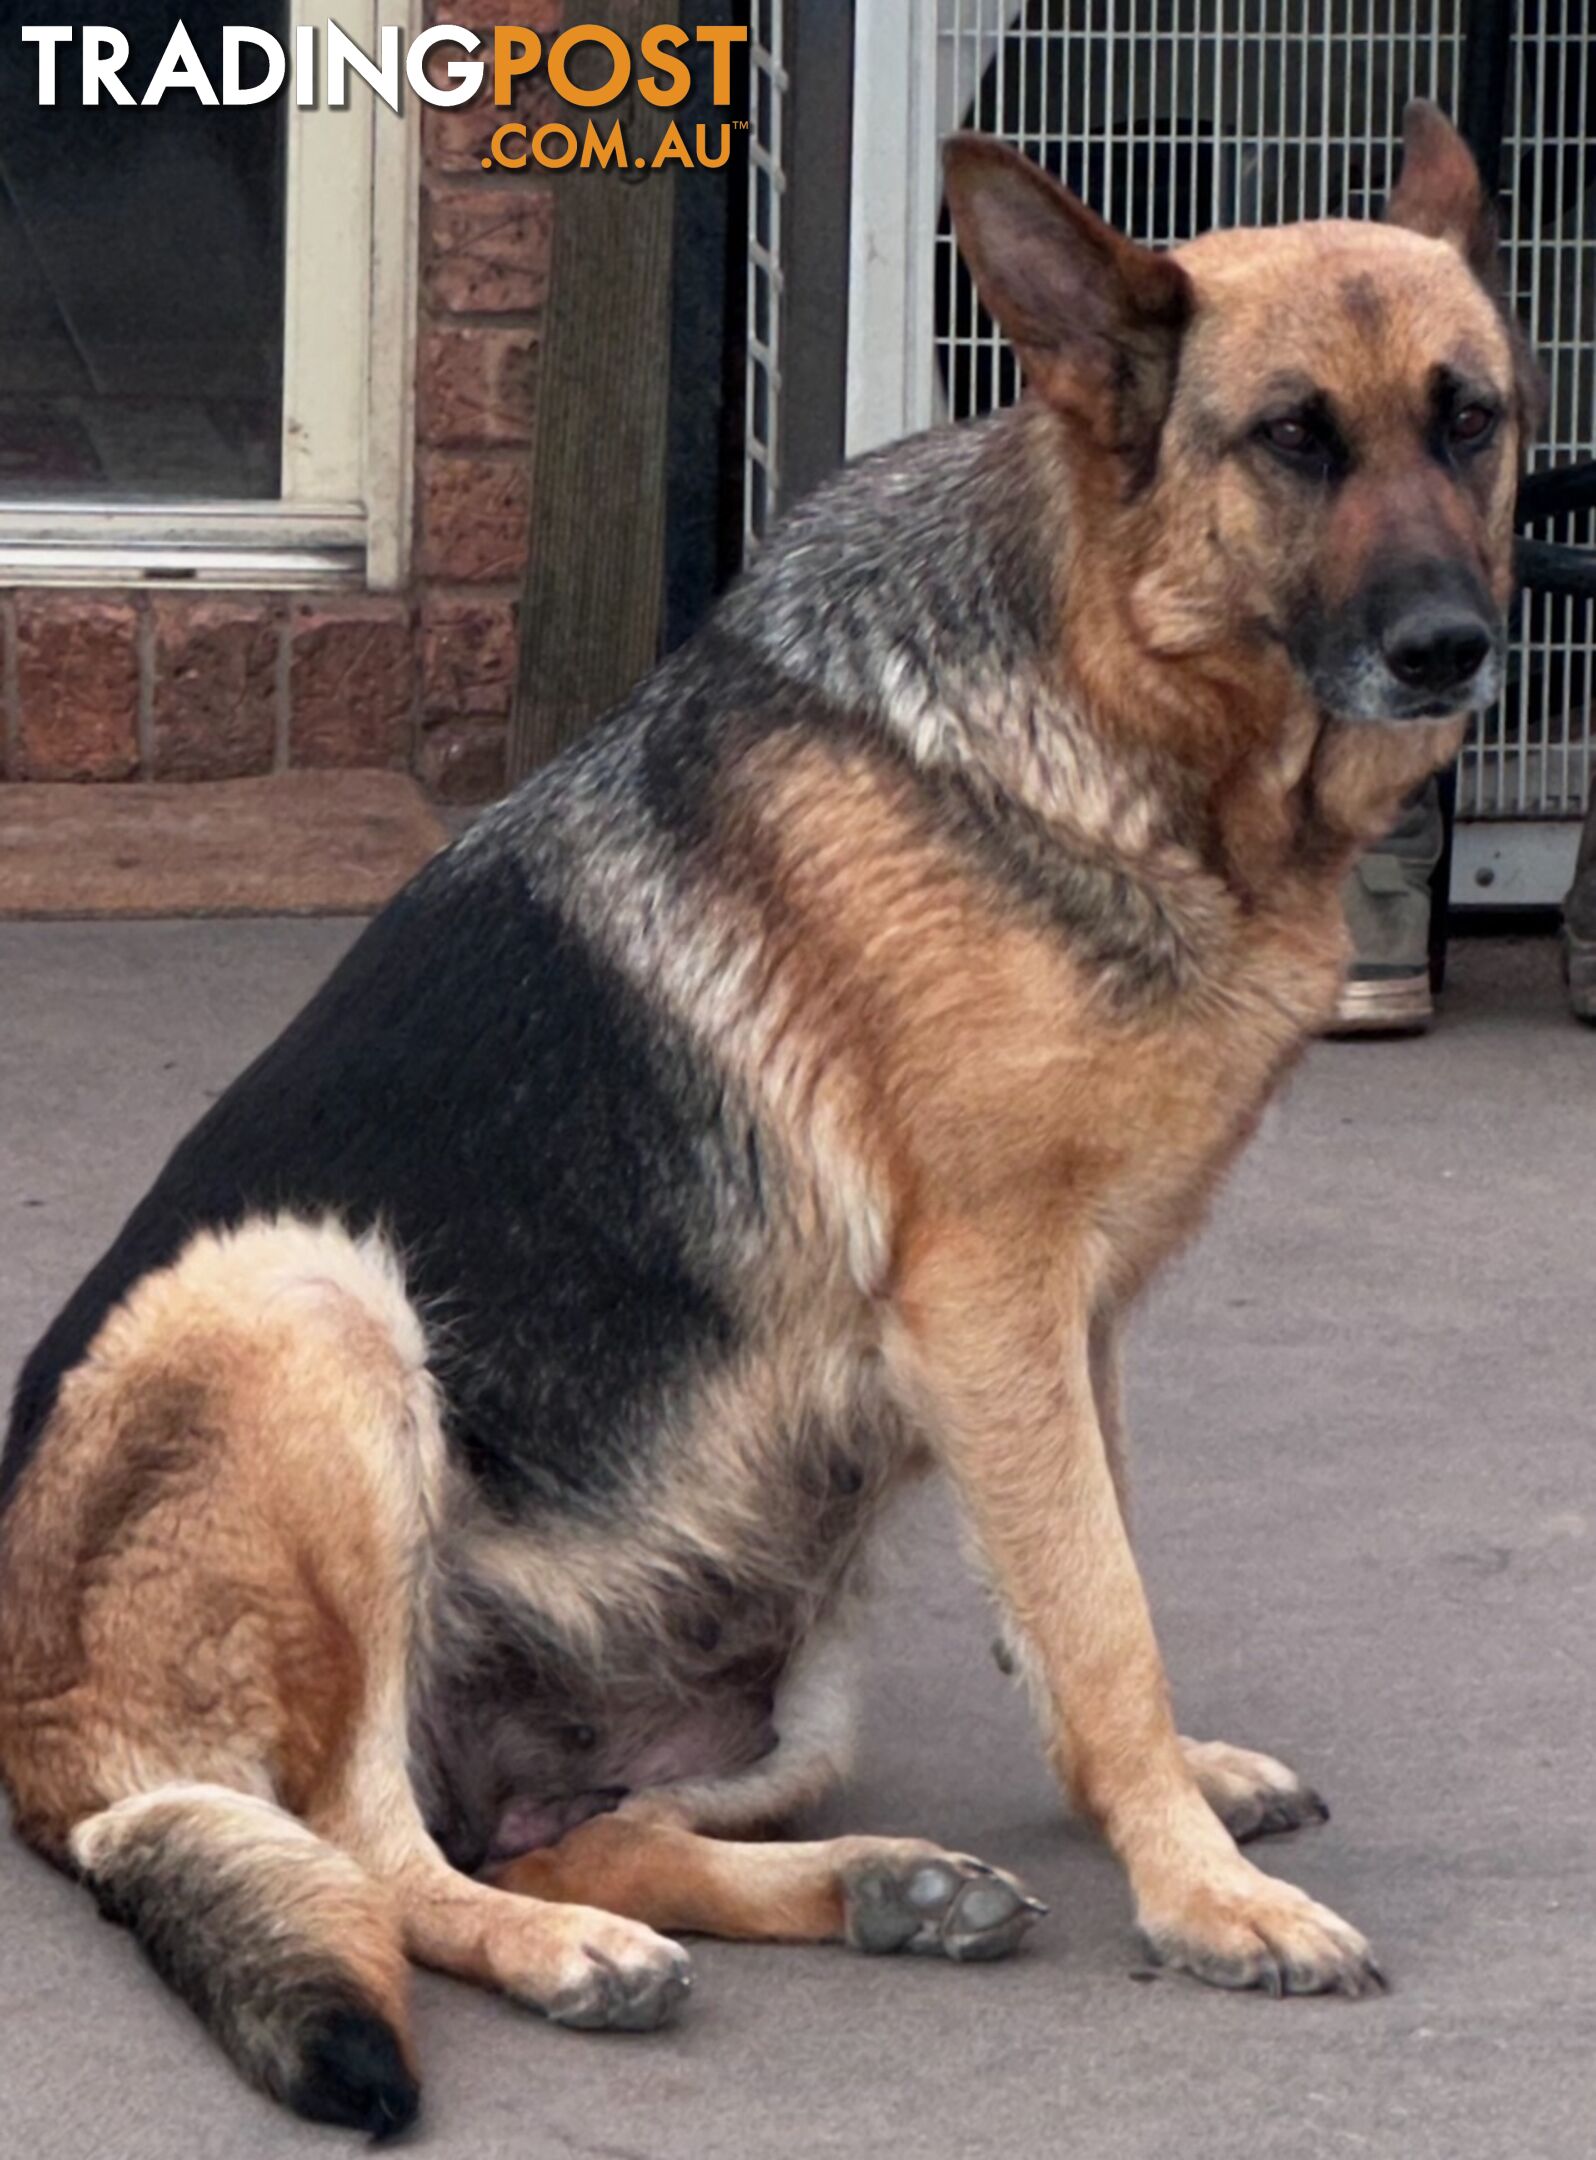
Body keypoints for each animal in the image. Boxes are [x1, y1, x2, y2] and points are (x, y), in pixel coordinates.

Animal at [0, 101, 1537, 2125]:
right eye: (1295, 439)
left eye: (1472, 420)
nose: (1452, 648)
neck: (1114, 699)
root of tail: (43, 1741)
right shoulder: (991, 1305)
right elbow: (1100, 1615)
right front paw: (1201, 1895)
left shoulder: (1078, 1322)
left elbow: (1092, 1577)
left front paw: (1173, 1802)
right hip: (308, 1303)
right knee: (376, 1855)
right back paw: (564, 1951)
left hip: (786, 1657)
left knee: (575, 1827)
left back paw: (873, 1889)